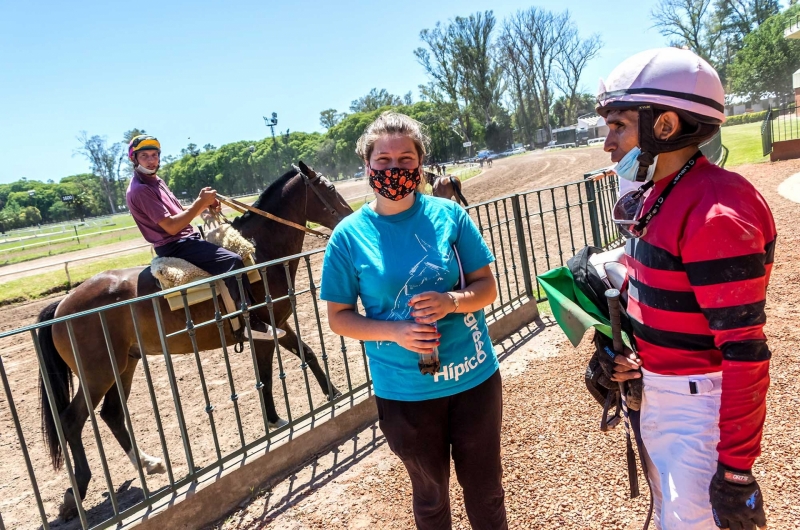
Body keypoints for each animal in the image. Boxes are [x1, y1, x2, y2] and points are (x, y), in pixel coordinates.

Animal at [34, 160, 354, 516]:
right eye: (328, 188)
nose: (349, 215)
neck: (258, 255)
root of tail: (63, 305)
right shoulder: (267, 330)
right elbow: (276, 372)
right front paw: (284, 416)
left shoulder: (277, 328)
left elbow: (297, 359)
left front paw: (325, 396)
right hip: (97, 374)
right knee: (71, 421)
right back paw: (76, 493)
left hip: (123, 366)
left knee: (112, 415)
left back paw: (150, 464)